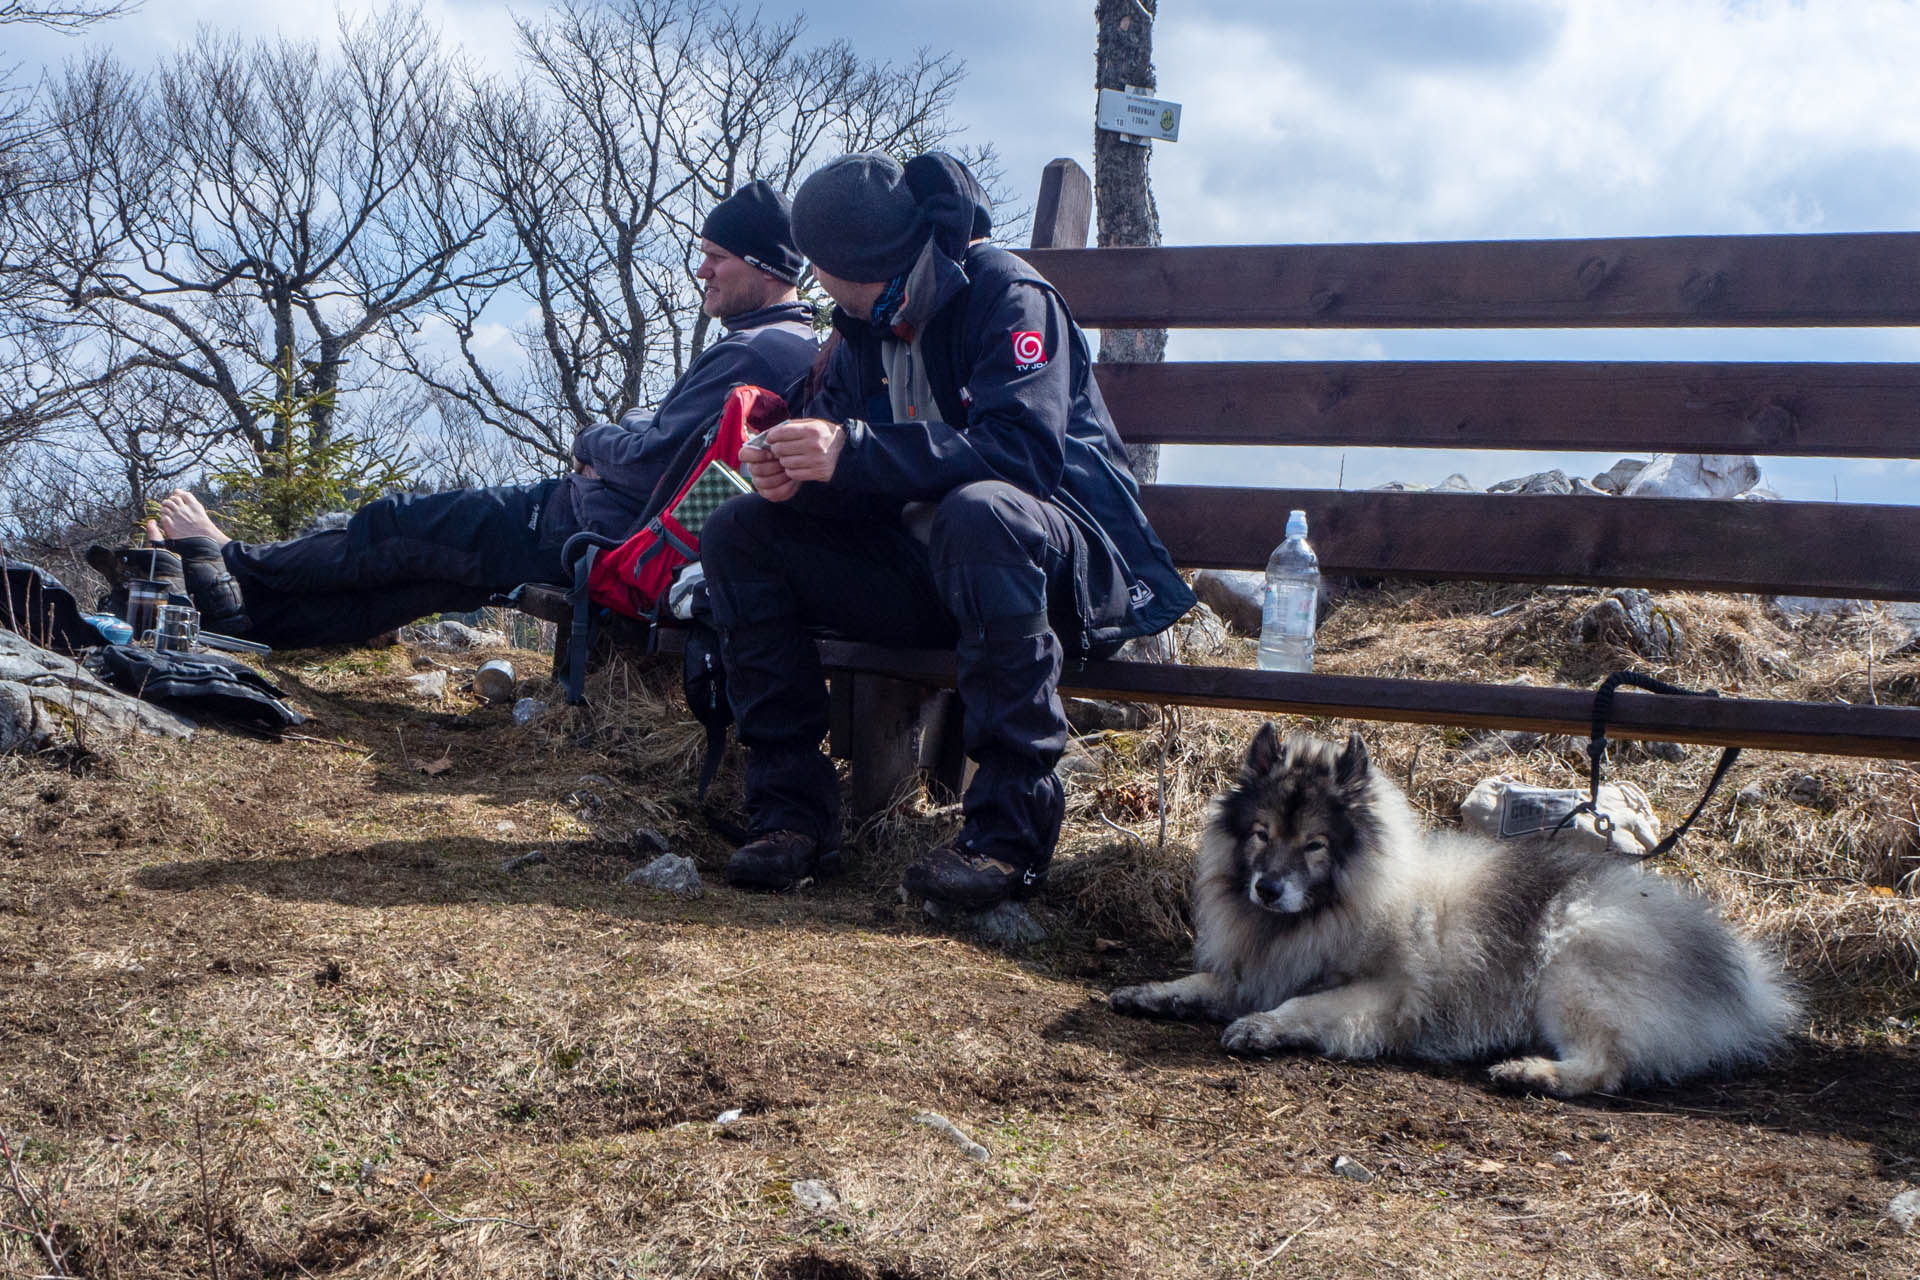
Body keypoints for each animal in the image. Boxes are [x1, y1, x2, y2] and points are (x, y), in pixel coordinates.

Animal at [1113, 725, 1797, 1097]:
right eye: (1260, 834)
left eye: (1314, 845)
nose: (1268, 889)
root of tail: (1739, 976)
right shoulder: (1255, 969)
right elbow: (1204, 981)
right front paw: (1152, 992)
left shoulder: (1382, 995)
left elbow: (1303, 1006)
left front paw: (1261, 1027)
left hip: (1574, 962)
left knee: (1608, 1066)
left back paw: (1530, 1073)